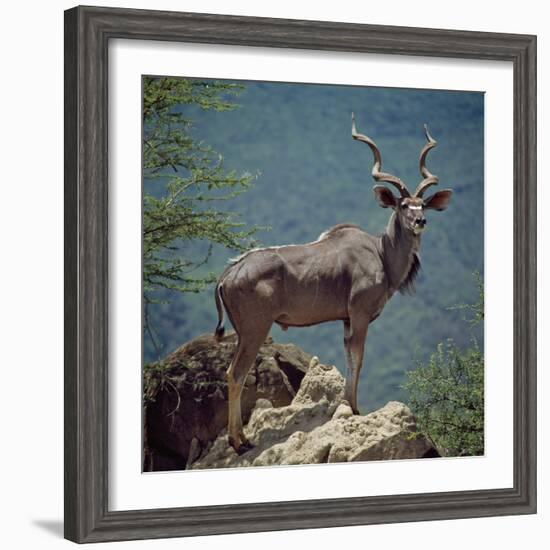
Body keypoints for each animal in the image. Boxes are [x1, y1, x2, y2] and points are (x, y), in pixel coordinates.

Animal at [215, 115, 452, 452]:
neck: (381, 252)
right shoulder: (360, 315)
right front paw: (354, 408)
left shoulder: (346, 320)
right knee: (236, 374)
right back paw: (240, 441)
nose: (421, 221)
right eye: (404, 205)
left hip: (242, 332)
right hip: (255, 330)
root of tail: (228, 274)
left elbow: (349, 358)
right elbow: (359, 359)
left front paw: (349, 406)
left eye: (423, 204)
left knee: (231, 372)